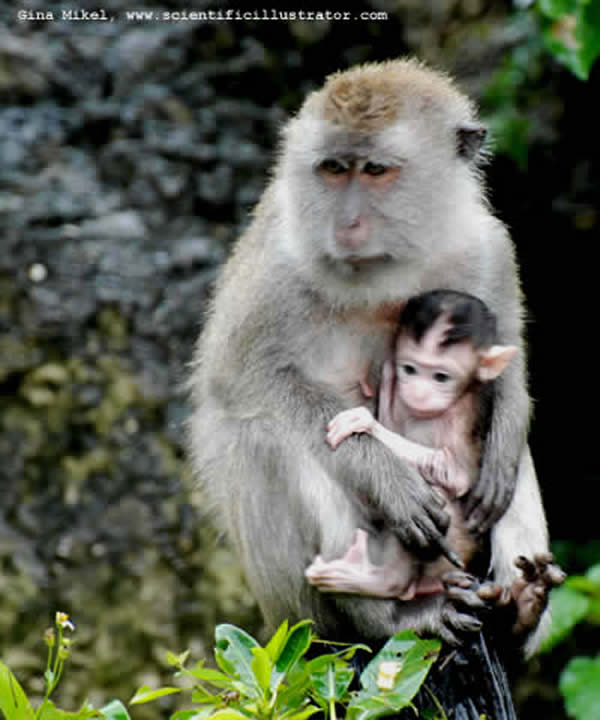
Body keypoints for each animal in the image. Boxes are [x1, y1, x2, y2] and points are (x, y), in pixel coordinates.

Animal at [305, 290, 564, 641]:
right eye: (410, 369)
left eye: (441, 376)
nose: (418, 391)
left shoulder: (460, 419)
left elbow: (454, 475)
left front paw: (366, 423)